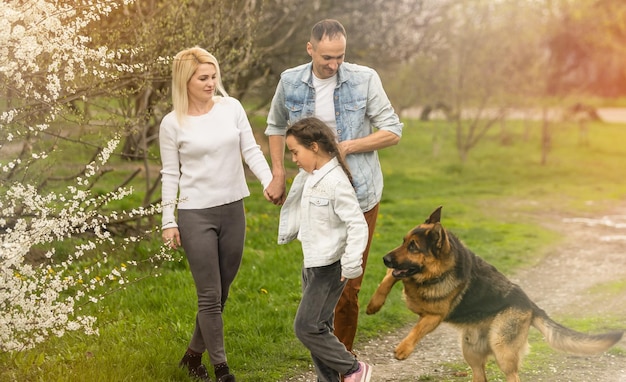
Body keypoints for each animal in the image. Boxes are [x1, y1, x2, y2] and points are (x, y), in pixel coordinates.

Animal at [364, 207, 620, 380]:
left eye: (413, 247)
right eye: (403, 241)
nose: (384, 258)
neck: (435, 272)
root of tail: (530, 305)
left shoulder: (433, 317)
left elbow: (416, 330)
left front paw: (403, 349)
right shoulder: (399, 273)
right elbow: (388, 279)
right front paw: (374, 304)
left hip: (502, 349)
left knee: (512, 375)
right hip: (470, 352)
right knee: (481, 375)